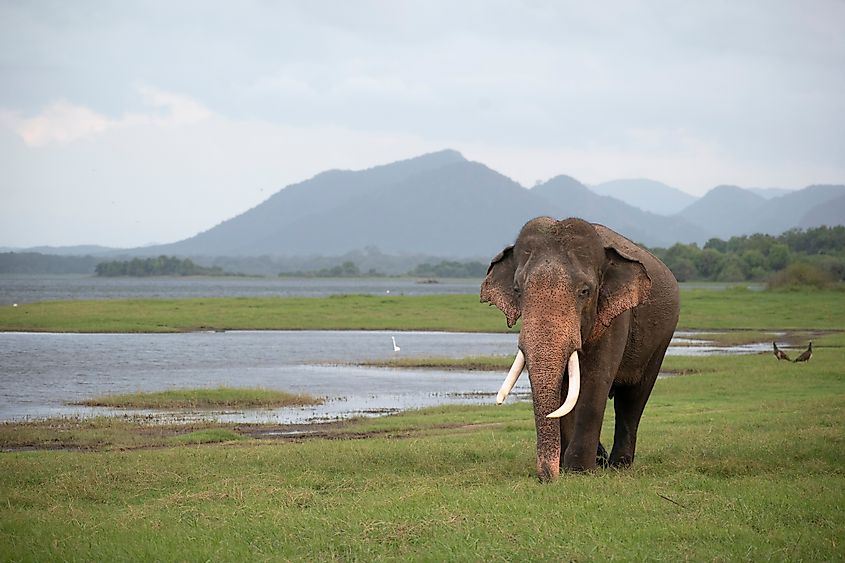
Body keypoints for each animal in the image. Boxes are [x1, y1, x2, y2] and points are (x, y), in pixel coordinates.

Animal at [480, 217, 680, 481]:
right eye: (517, 290)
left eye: (585, 291)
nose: (546, 477)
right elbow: (565, 393)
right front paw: (569, 469)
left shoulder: (616, 317)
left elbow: (594, 383)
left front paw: (579, 471)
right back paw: (603, 459)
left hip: (660, 341)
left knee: (633, 398)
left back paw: (618, 465)